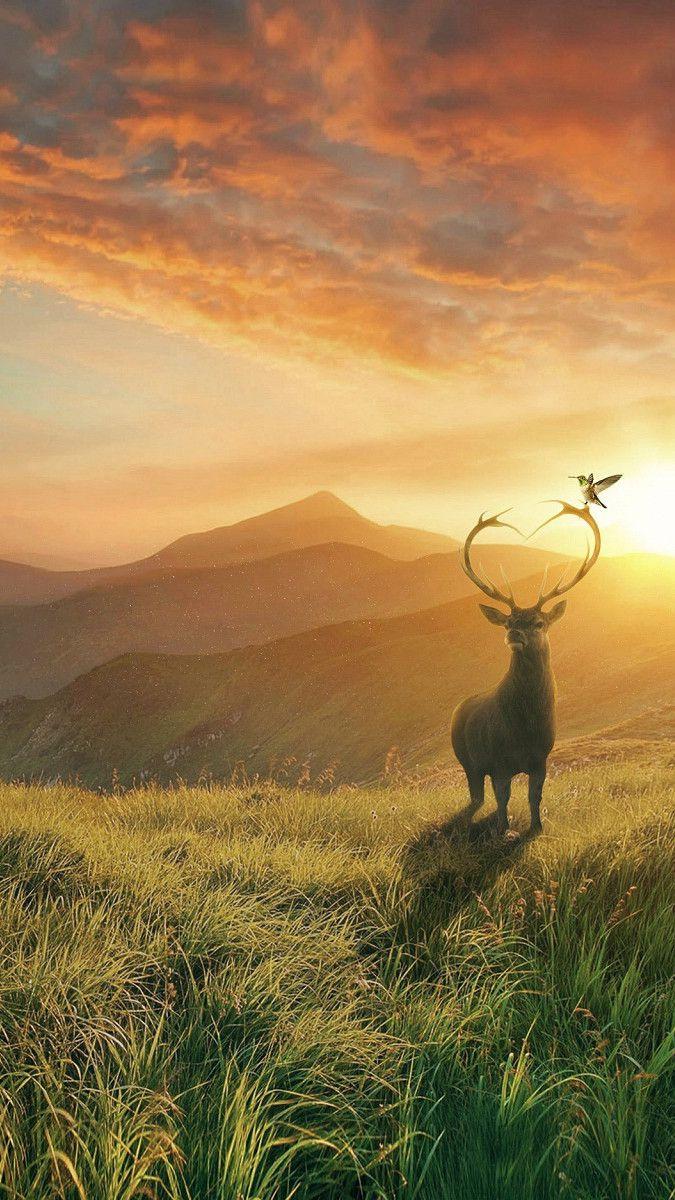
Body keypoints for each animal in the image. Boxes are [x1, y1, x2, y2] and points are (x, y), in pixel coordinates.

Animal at [450, 501, 601, 837]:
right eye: (507, 622)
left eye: (539, 622)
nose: (514, 634)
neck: (524, 728)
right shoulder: (498, 762)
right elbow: (503, 798)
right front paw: (502, 830)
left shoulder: (541, 759)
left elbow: (535, 796)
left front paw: (536, 827)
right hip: (466, 759)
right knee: (476, 796)